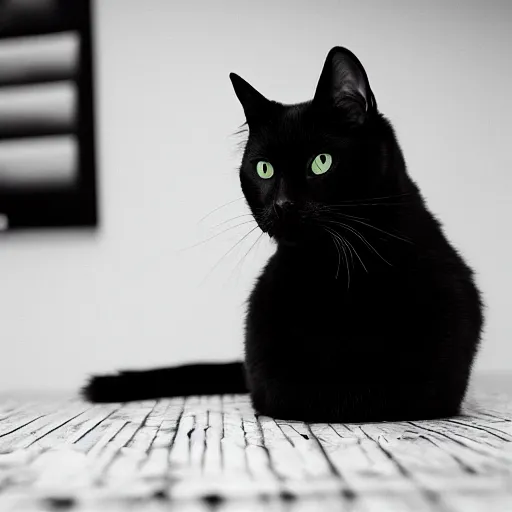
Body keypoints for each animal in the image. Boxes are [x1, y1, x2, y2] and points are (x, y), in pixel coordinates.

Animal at [84, 47, 484, 420]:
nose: (282, 204)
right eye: (264, 169)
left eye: (321, 162)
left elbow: (392, 386)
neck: (341, 273)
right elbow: (303, 391)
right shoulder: (266, 357)